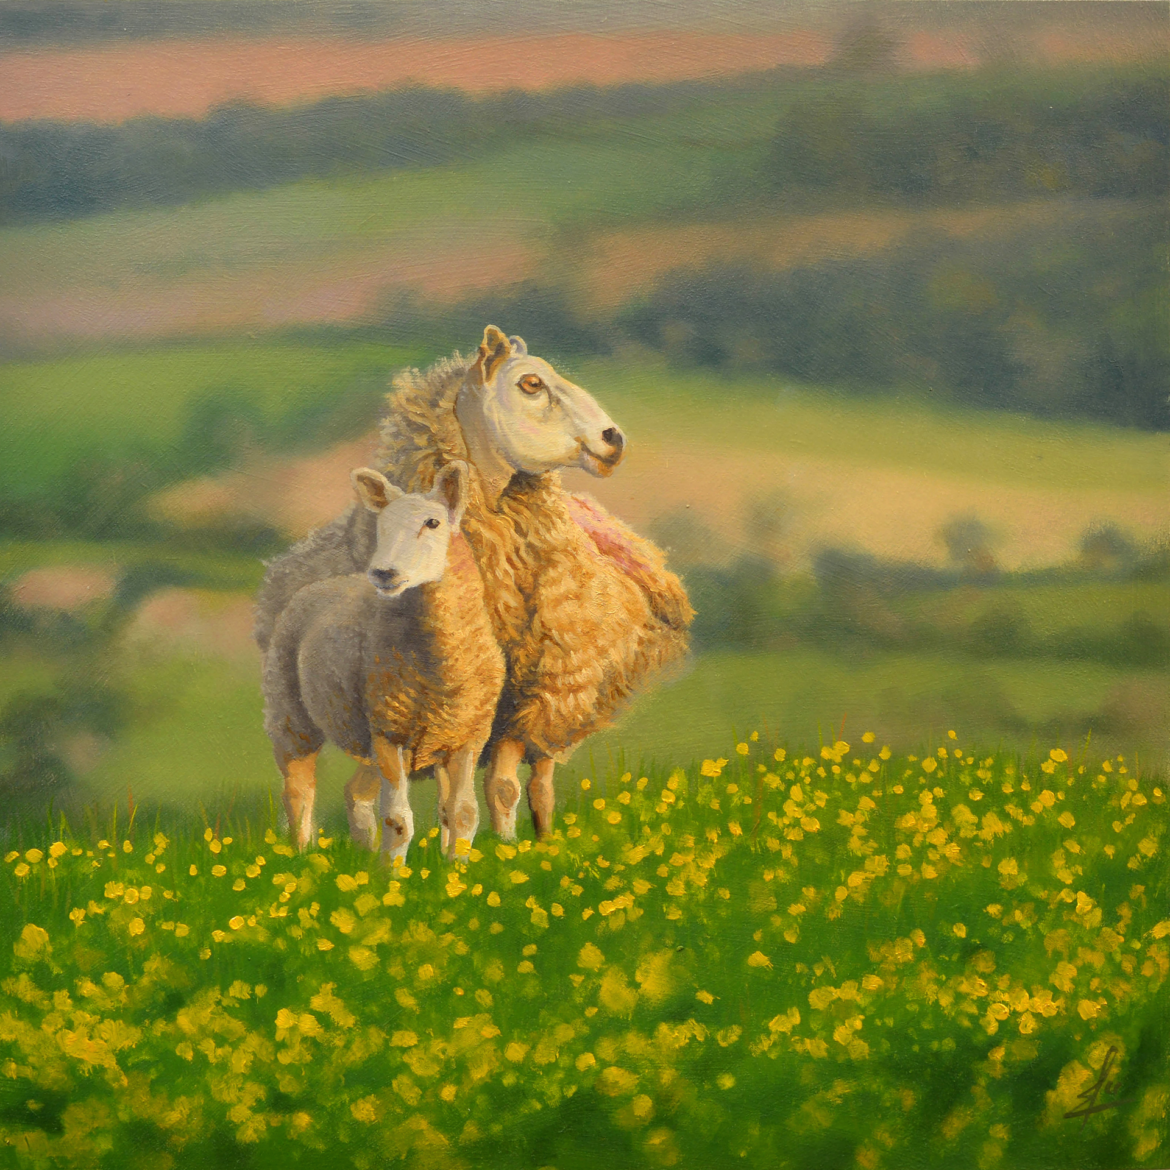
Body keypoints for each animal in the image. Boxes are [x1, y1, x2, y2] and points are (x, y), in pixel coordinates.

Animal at [262, 460, 504, 860]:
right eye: (382, 525)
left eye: (433, 522)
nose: (383, 573)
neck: (440, 667)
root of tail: (319, 585)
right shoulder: (391, 733)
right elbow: (399, 819)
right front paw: (394, 874)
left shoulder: (467, 736)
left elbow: (463, 813)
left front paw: (455, 870)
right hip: (291, 716)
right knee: (298, 792)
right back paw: (304, 857)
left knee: (355, 793)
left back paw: (362, 856)